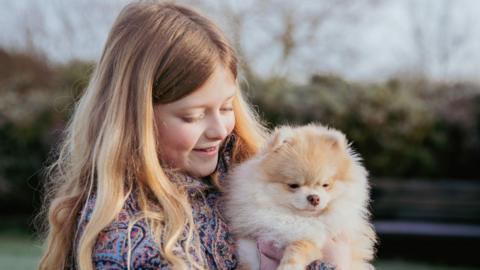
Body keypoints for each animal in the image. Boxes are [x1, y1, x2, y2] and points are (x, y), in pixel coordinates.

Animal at [223, 124, 376, 270]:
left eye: (325, 185)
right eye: (294, 185)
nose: (314, 198)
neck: (295, 219)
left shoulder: (315, 239)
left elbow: (298, 246)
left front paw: (288, 266)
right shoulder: (250, 248)